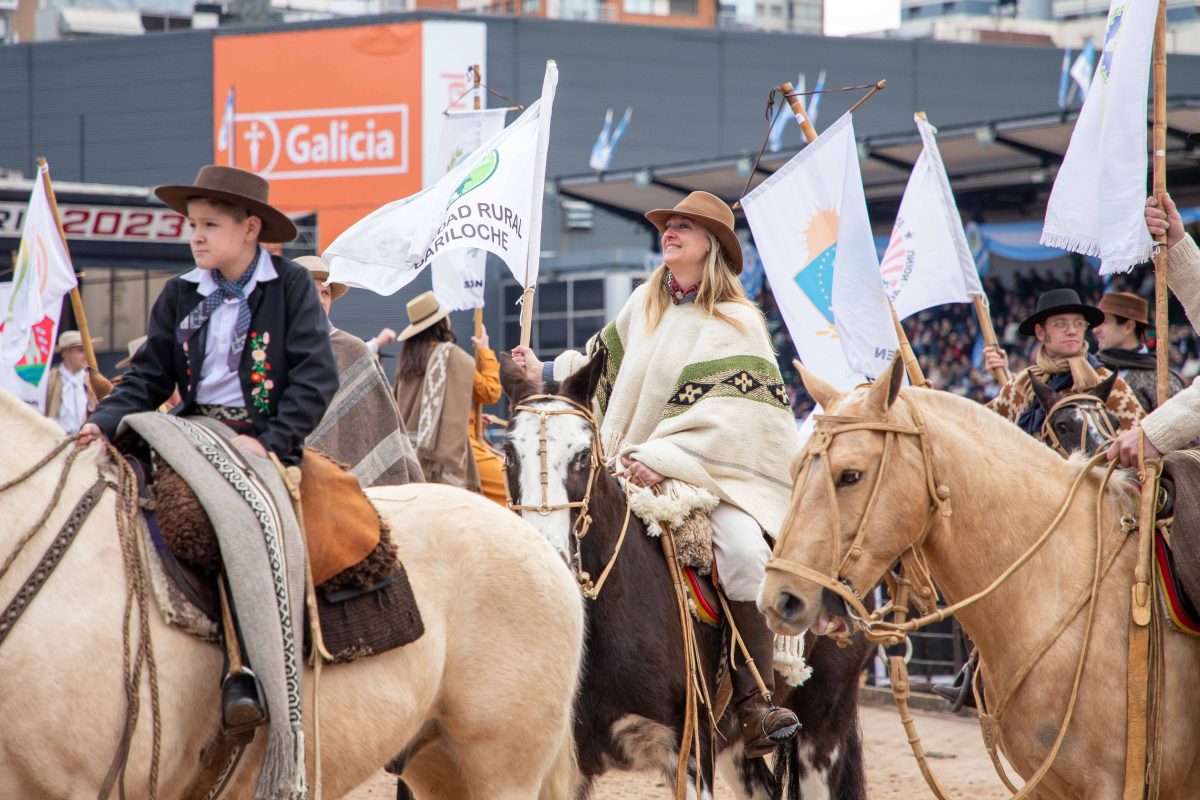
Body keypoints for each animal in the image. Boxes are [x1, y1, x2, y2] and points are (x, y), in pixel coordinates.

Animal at [501, 350, 868, 800]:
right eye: (508, 453)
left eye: (583, 455)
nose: (546, 561)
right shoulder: (564, 767)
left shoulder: (690, 751)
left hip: (823, 727)